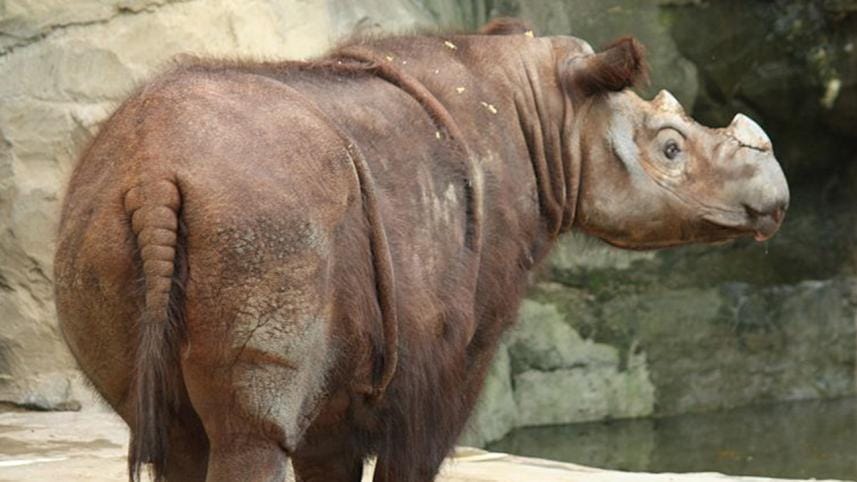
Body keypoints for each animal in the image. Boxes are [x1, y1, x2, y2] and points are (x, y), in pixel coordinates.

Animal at [54, 18, 788, 482]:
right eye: (670, 149)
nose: (776, 201)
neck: (549, 113)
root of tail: (153, 170)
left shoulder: (348, 362)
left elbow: (328, 458)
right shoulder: (444, 348)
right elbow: (415, 455)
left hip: (99, 218)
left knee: (175, 431)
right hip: (261, 214)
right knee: (250, 437)